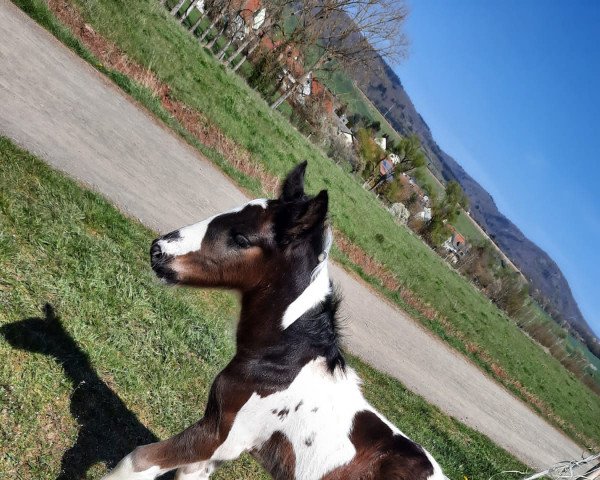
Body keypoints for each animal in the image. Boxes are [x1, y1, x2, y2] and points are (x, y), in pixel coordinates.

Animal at [105, 161, 446, 480]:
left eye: (242, 238)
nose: (158, 250)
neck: (282, 362)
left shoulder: (219, 436)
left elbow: (137, 460)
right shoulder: (217, 449)